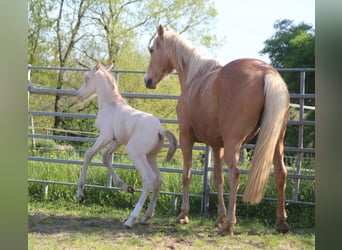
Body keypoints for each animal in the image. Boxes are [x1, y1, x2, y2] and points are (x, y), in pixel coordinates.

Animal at [76, 63, 178, 229]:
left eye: (86, 78)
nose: (78, 94)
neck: (111, 105)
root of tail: (159, 129)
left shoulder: (105, 135)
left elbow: (89, 155)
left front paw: (80, 195)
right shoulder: (117, 141)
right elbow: (105, 158)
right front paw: (126, 187)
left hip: (135, 153)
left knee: (149, 178)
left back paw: (131, 219)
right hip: (150, 156)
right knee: (158, 180)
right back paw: (146, 216)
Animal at [144, 24, 292, 235]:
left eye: (152, 49)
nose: (147, 80)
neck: (194, 78)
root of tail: (266, 72)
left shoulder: (186, 138)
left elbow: (186, 175)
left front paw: (184, 215)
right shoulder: (216, 145)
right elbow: (217, 179)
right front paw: (219, 218)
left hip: (234, 143)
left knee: (235, 174)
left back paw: (229, 224)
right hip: (277, 142)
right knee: (281, 173)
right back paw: (281, 223)